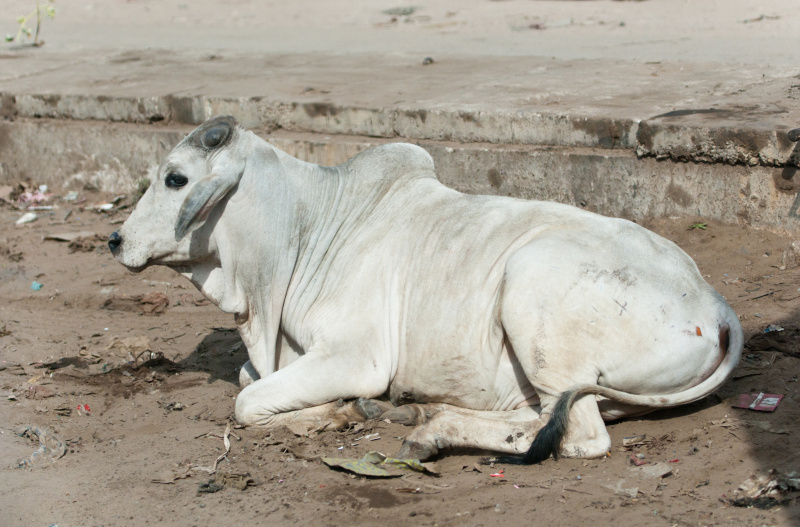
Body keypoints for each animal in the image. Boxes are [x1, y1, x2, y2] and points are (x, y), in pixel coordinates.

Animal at [111, 117, 744, 464]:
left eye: (175, 179)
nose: (115, 239)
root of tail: (716, 306)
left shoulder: (356, 356)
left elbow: (246, 402)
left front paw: (329, 415)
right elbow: (248, 380)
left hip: (530, 288)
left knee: (580, 435)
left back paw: (432, 431)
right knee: (542, 417)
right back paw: (416, 413)